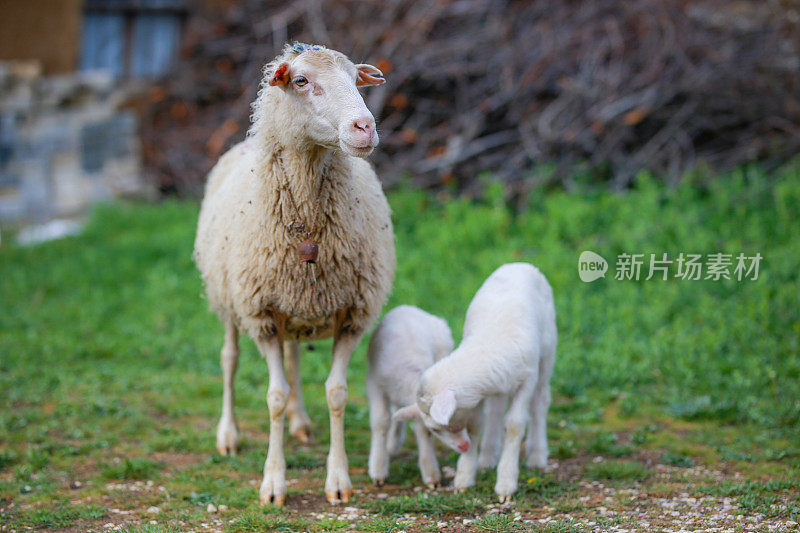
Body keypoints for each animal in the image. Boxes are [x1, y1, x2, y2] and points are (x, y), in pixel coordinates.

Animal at [194, 43, 394, 504]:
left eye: (356, 80)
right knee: (229, 359)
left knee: (294, 357)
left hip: (298, 307)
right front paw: (273, 483)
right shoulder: (262, 314)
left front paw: (338, 480)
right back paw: (228, 434)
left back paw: (301, 424)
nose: (365, 127)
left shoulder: (352, 314)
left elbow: (336, 393)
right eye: (301, 81)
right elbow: (274, 397)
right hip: (229, 300)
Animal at [366, 306, 454, 488]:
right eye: (436, 430)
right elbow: (380, 421)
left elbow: (420, 429)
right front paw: (378, 470)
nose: (464, 446)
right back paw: (391, 446)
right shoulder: (375, 385)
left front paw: (431, 474)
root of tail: (410, 308)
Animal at [394, 264, 556, 500]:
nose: (462, 446)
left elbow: (515, 425)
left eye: (435, 428)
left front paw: (506, 483)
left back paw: (537, 456)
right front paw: (464, 477)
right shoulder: (477, 395)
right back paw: (488, 457)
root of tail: (519, 265)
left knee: (540, 403)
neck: (488, 344)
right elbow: (476, 425)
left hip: (547, 353)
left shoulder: (527, 379)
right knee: (496, 411)